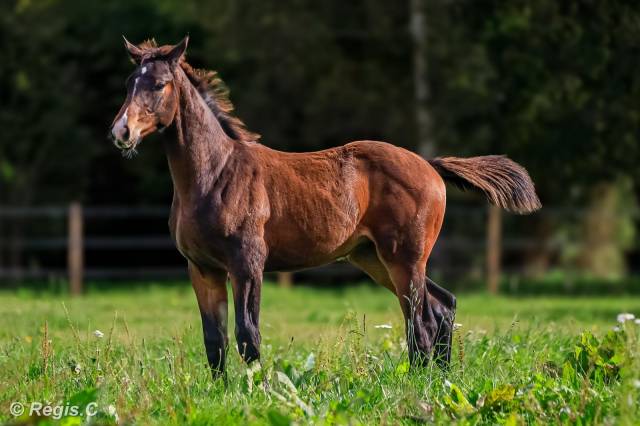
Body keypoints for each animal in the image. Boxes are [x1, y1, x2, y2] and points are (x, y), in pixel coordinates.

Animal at [110, 36, 540, 376]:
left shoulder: (247, 264)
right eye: (130, 82)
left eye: (160, 84)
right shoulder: (202, 268)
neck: (214, 173)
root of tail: (429, 165)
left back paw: (420, 383)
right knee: (442, 307)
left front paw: (254, 394)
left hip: (405, 258)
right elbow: (214, 341)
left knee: (420, 324)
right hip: (373, 257)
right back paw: (442, 379)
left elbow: (248, 335)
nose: (121, 132)